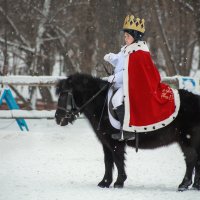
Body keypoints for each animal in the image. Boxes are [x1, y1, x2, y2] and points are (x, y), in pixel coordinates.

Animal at [54, 73, 200, 191]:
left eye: (64, 94)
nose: (58, 118)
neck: (101, 104)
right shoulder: (105, 142)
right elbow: (108, 161)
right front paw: (105, 182)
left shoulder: (115, 142)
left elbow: (118, 160)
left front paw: (119, 182)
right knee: (196, 160)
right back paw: (196, 185)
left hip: (186, 140)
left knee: (191, 159)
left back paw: (184, 184)